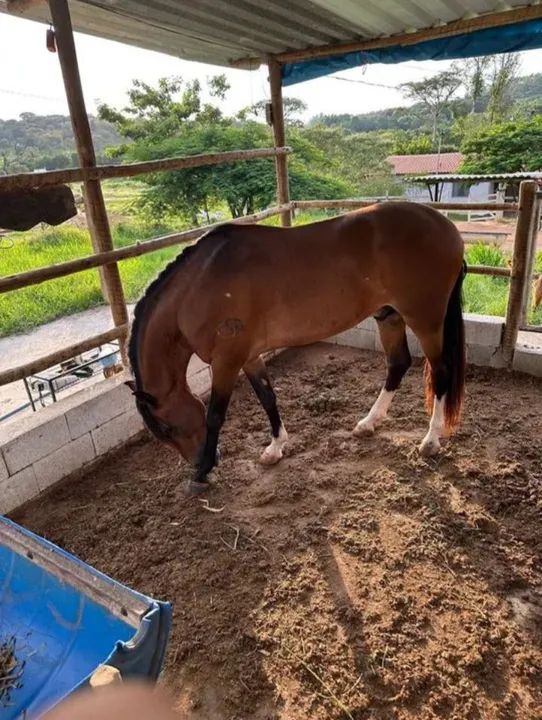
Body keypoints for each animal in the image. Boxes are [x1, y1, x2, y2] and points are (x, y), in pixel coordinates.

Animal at [127, 202, 466, 493]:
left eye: (166, 428)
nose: (197, 460)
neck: (198, 285)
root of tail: (448, 228)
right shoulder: (249, 356)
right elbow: (267, 397)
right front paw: (275, 448)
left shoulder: (226, 361)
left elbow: (215, 415)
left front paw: (202, 472)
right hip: (389, 315)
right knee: (398, 363)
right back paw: (369, 423)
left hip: (425, 319)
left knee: (441, 372)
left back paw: (430, 440)